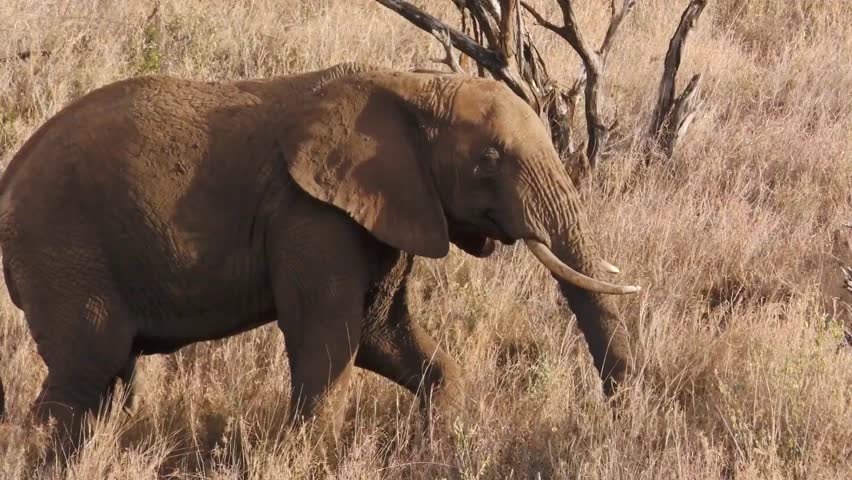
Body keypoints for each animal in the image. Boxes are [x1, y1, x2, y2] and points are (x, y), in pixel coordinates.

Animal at [0, 62, 640, 446]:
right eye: (487, 162)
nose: (620, 417)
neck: (408, 85)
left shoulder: (387, 211)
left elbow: (384, 336)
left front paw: (435, 444)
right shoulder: (310, 217)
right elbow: (329, 342)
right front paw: (305, 456)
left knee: (110, 381)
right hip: (61, 247)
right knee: (88, 367)